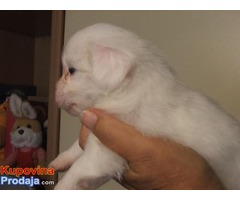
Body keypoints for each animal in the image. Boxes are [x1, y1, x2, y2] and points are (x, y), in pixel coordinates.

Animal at [50, 23, 240, 189]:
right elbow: (76, 148)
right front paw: (61, 160)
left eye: (71, 70)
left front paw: (60, 187)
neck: (128, 94)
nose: (54, 91)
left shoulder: (103, 154)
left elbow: (76, 172)